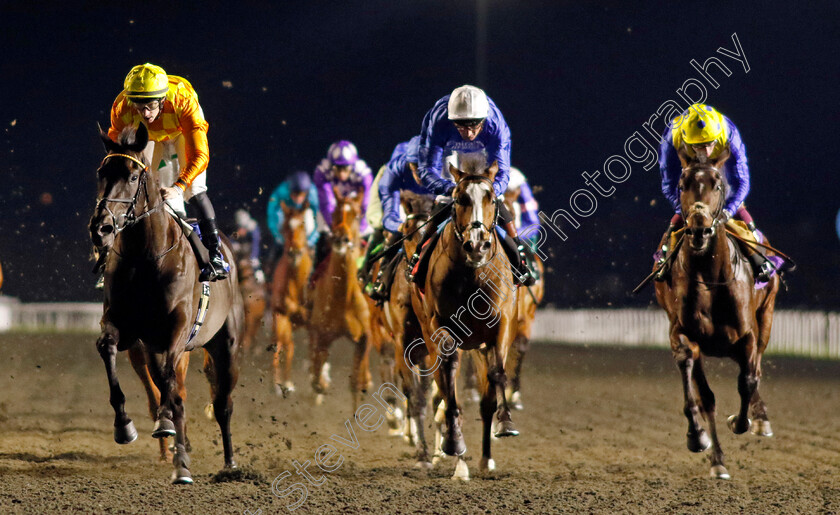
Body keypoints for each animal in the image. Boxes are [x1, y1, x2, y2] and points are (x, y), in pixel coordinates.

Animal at [91, 124, 243, 484]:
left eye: (133, 176)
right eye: (101, 173)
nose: (101, 227)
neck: (145, 258)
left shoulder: (177, 329)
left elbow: (169, 381)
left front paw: (170, 436)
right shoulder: (127, 328)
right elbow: (107, 348)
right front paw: (124, 425)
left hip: (226, 344)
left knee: (222, 403)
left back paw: (229, 463)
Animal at [308, 189, 370, 412]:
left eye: (358, 215)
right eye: (334, 212)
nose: (340, 238)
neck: (342, 297)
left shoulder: (364, 337)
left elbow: (355, 383)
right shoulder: (323, 334)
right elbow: (316, 379)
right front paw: (322, 384)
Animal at [414, 155, 520, 482]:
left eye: (491, 198)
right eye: (459, 198)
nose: (476, 245)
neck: (471, 276)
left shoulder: (501, 325)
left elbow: (498, 374)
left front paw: (506, 422)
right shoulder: (440, 327)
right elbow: (449, 381)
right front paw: (453, 441)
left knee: (484, 400)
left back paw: (485, 458)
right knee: (442, 388)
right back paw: (458, 458)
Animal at [656, 148, 780, 480]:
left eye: (718, 184)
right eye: (682, 185)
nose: (699, 229)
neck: (710, 278)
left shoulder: (748, 334)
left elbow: (748, 380)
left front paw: (741, 421)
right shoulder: (683, 333)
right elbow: (703, 395)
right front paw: (701, 440)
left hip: (766, 315)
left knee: (756, 369)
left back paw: (760, 418)